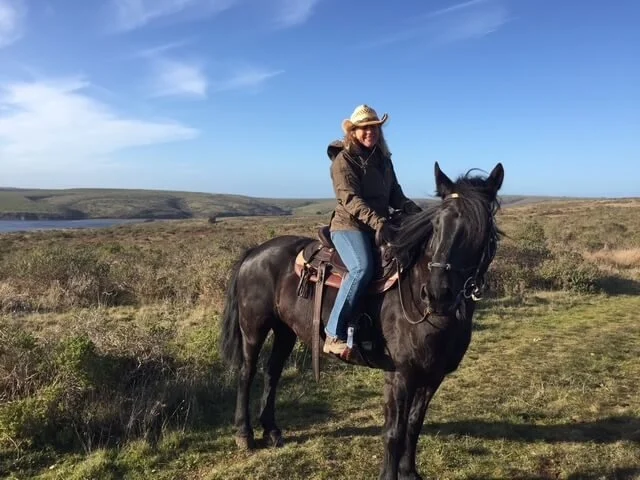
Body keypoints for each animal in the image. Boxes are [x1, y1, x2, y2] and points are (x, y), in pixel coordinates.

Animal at [219, 161, 504, 480]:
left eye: (481, 228)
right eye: (437, 225)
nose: (437, 293)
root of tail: (254, 253)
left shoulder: (433, 376)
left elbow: (414, 425)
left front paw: (409, 472)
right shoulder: (400, 375)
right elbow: (394, 431)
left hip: (285, 331)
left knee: (272, 372)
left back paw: (272, 430)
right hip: (254, 327)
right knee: (247, 373)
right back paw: (244, 434)